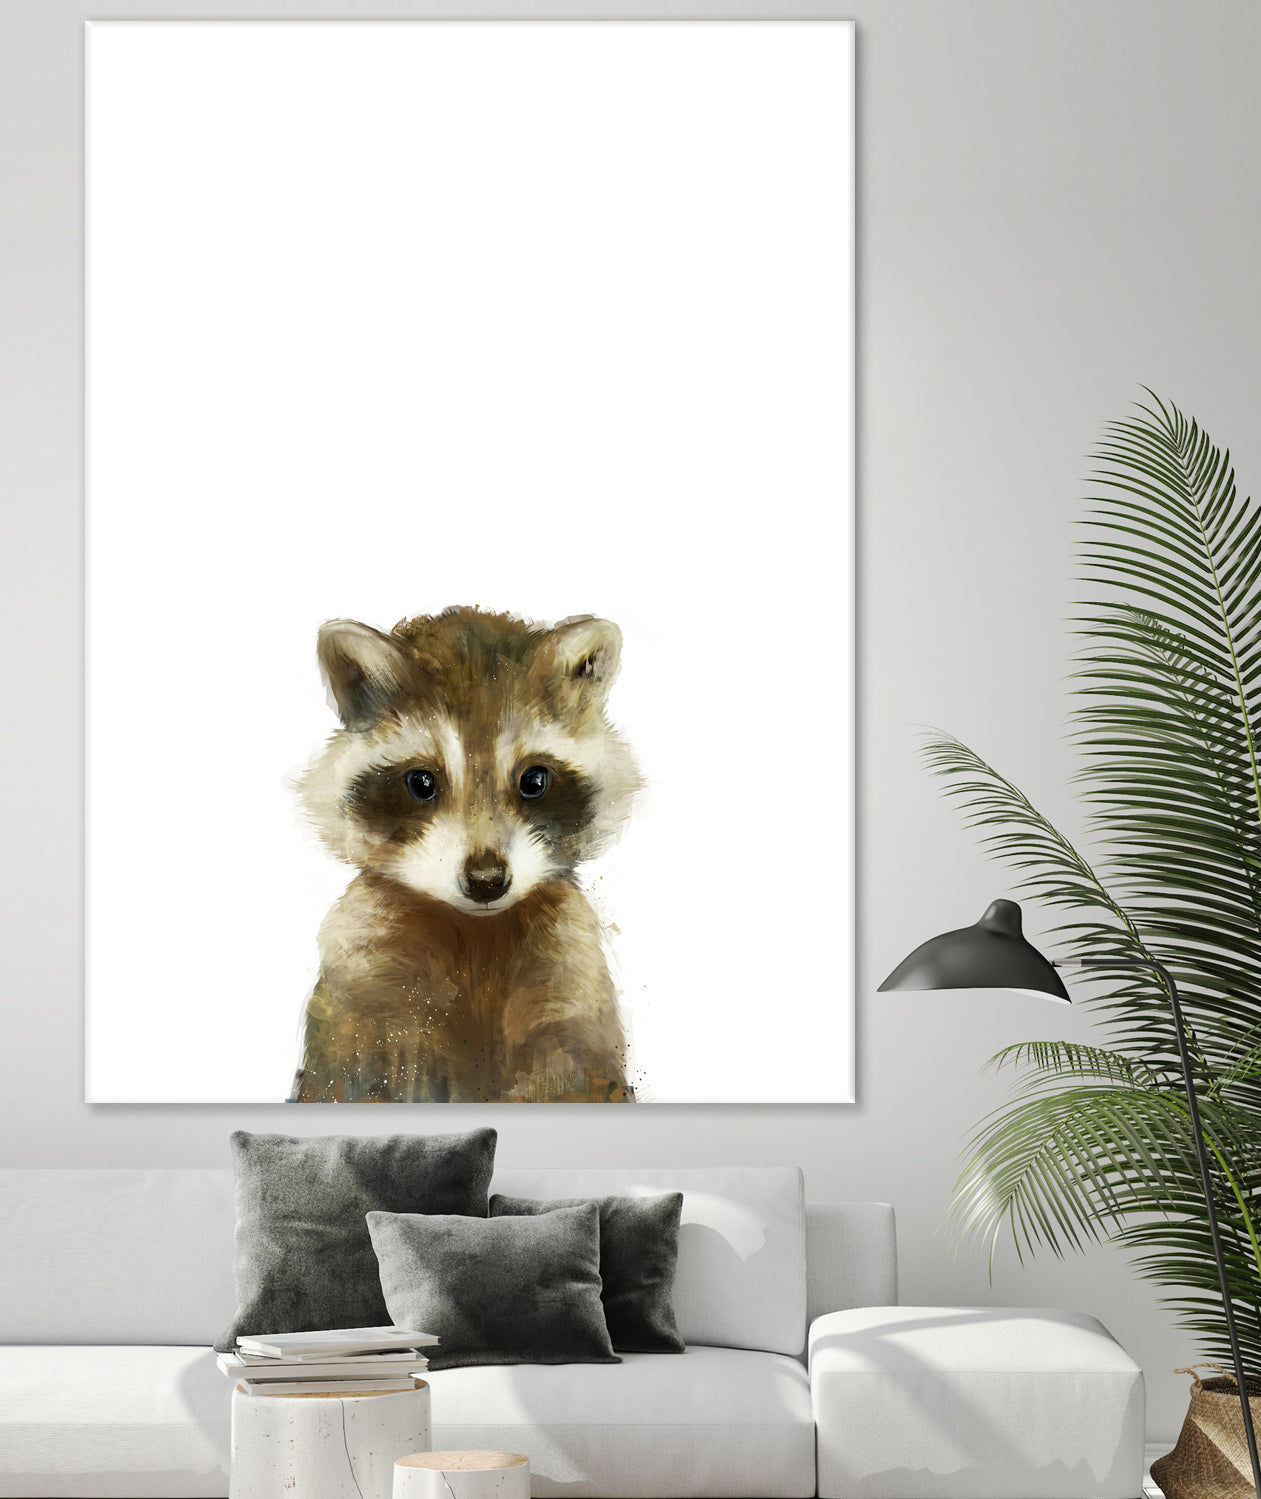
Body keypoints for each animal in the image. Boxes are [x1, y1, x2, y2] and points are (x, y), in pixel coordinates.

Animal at [289, 606, 642, 1103]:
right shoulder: (364, 981)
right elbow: (357, 1075)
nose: (487, 880)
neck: (478, 934)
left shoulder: (571, 976)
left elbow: (572, 1073)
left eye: (534, 780)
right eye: (421, 782)